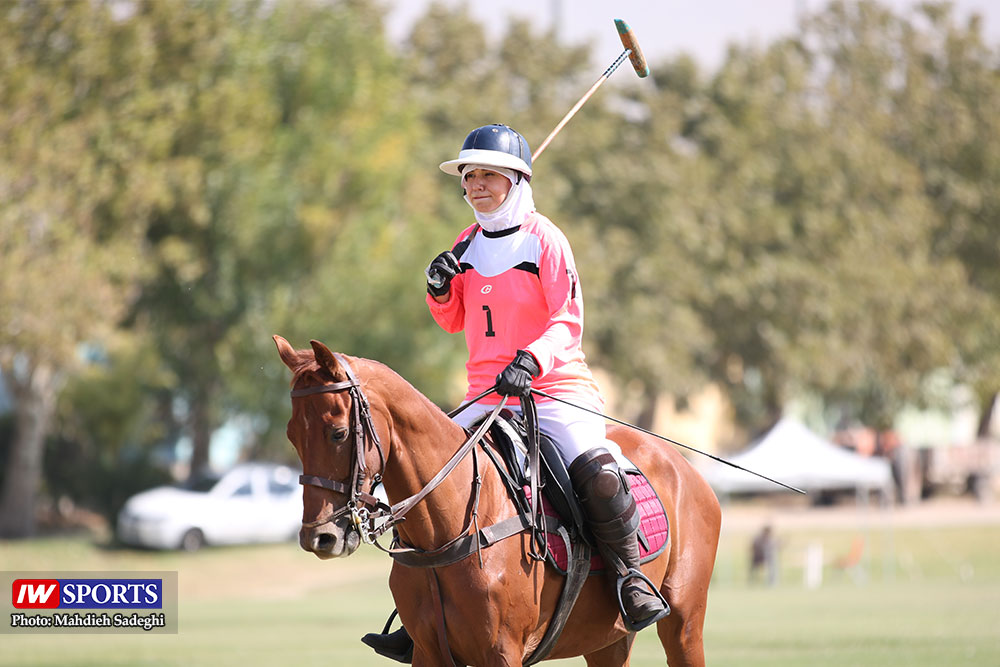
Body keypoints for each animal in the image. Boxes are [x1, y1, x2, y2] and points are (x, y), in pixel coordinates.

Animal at [276, 336, 720, 664]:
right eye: (291, 435)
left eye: (338, 433)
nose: (320, 538)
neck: (444, 530)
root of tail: (687, 467)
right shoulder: (428, 652)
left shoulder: (502, 652)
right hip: (608, 639)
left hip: (684, 624)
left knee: (604, 481)